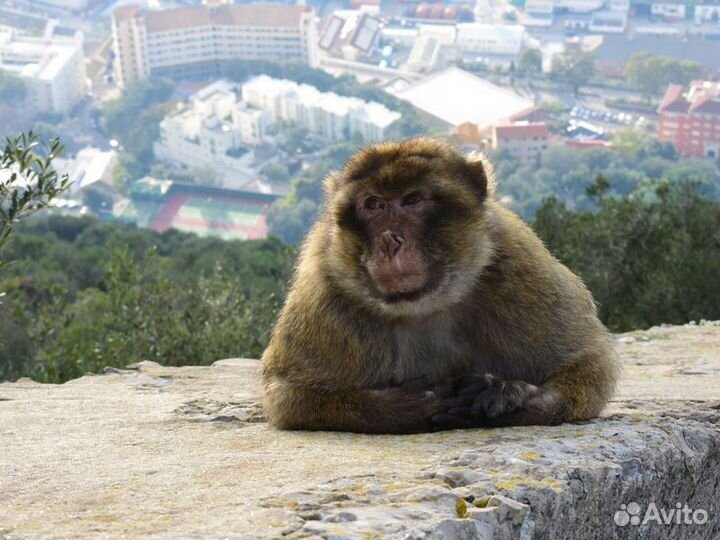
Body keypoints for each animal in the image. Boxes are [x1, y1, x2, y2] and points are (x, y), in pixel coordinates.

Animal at [262, 136, 620, 434]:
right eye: (374, 204)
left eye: (412, 199)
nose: (389, 242)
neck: (423, 305)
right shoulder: (323, 296)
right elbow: (286, 393)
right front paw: (400, 409)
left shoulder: (522, 268)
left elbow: (590, 360)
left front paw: (510, 394)